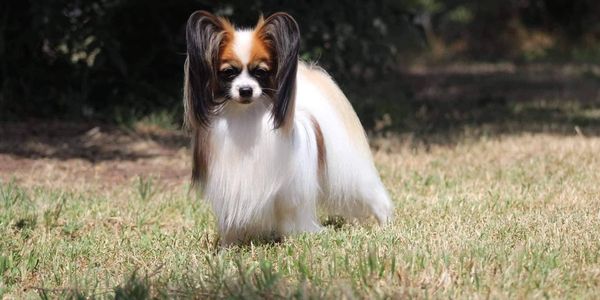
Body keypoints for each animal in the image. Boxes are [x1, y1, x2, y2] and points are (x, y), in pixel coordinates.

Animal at [184, 10, 394, 245]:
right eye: (229, 72)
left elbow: (289, 219)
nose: (246, 90)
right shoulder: (231, 187)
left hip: (353, 176)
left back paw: (385, 224)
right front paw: (228, 247)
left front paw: (292, 240)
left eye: (260, 72)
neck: (247, 116)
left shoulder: (290, 193)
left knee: (374, 196)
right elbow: (231, 223)